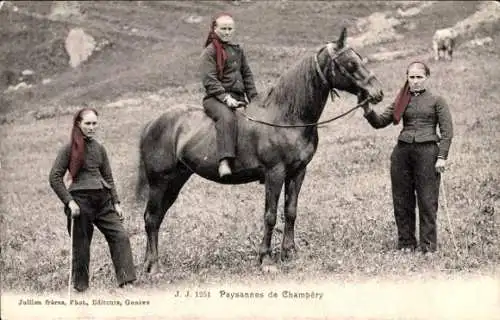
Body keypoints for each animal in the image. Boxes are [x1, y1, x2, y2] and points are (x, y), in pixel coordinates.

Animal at [135, 27, 384, 274]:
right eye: (350, 63)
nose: (377, 93)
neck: (286, 117)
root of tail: (153, 123)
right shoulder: (275, 173)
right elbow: (270, 216)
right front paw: (266, 258)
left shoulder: (298, 172)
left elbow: (290, 211)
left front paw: (289, 252)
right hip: (159, 181)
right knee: (151, 218)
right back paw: (153, 266)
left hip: (176, 180)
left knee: (156, 218)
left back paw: (150, 263)